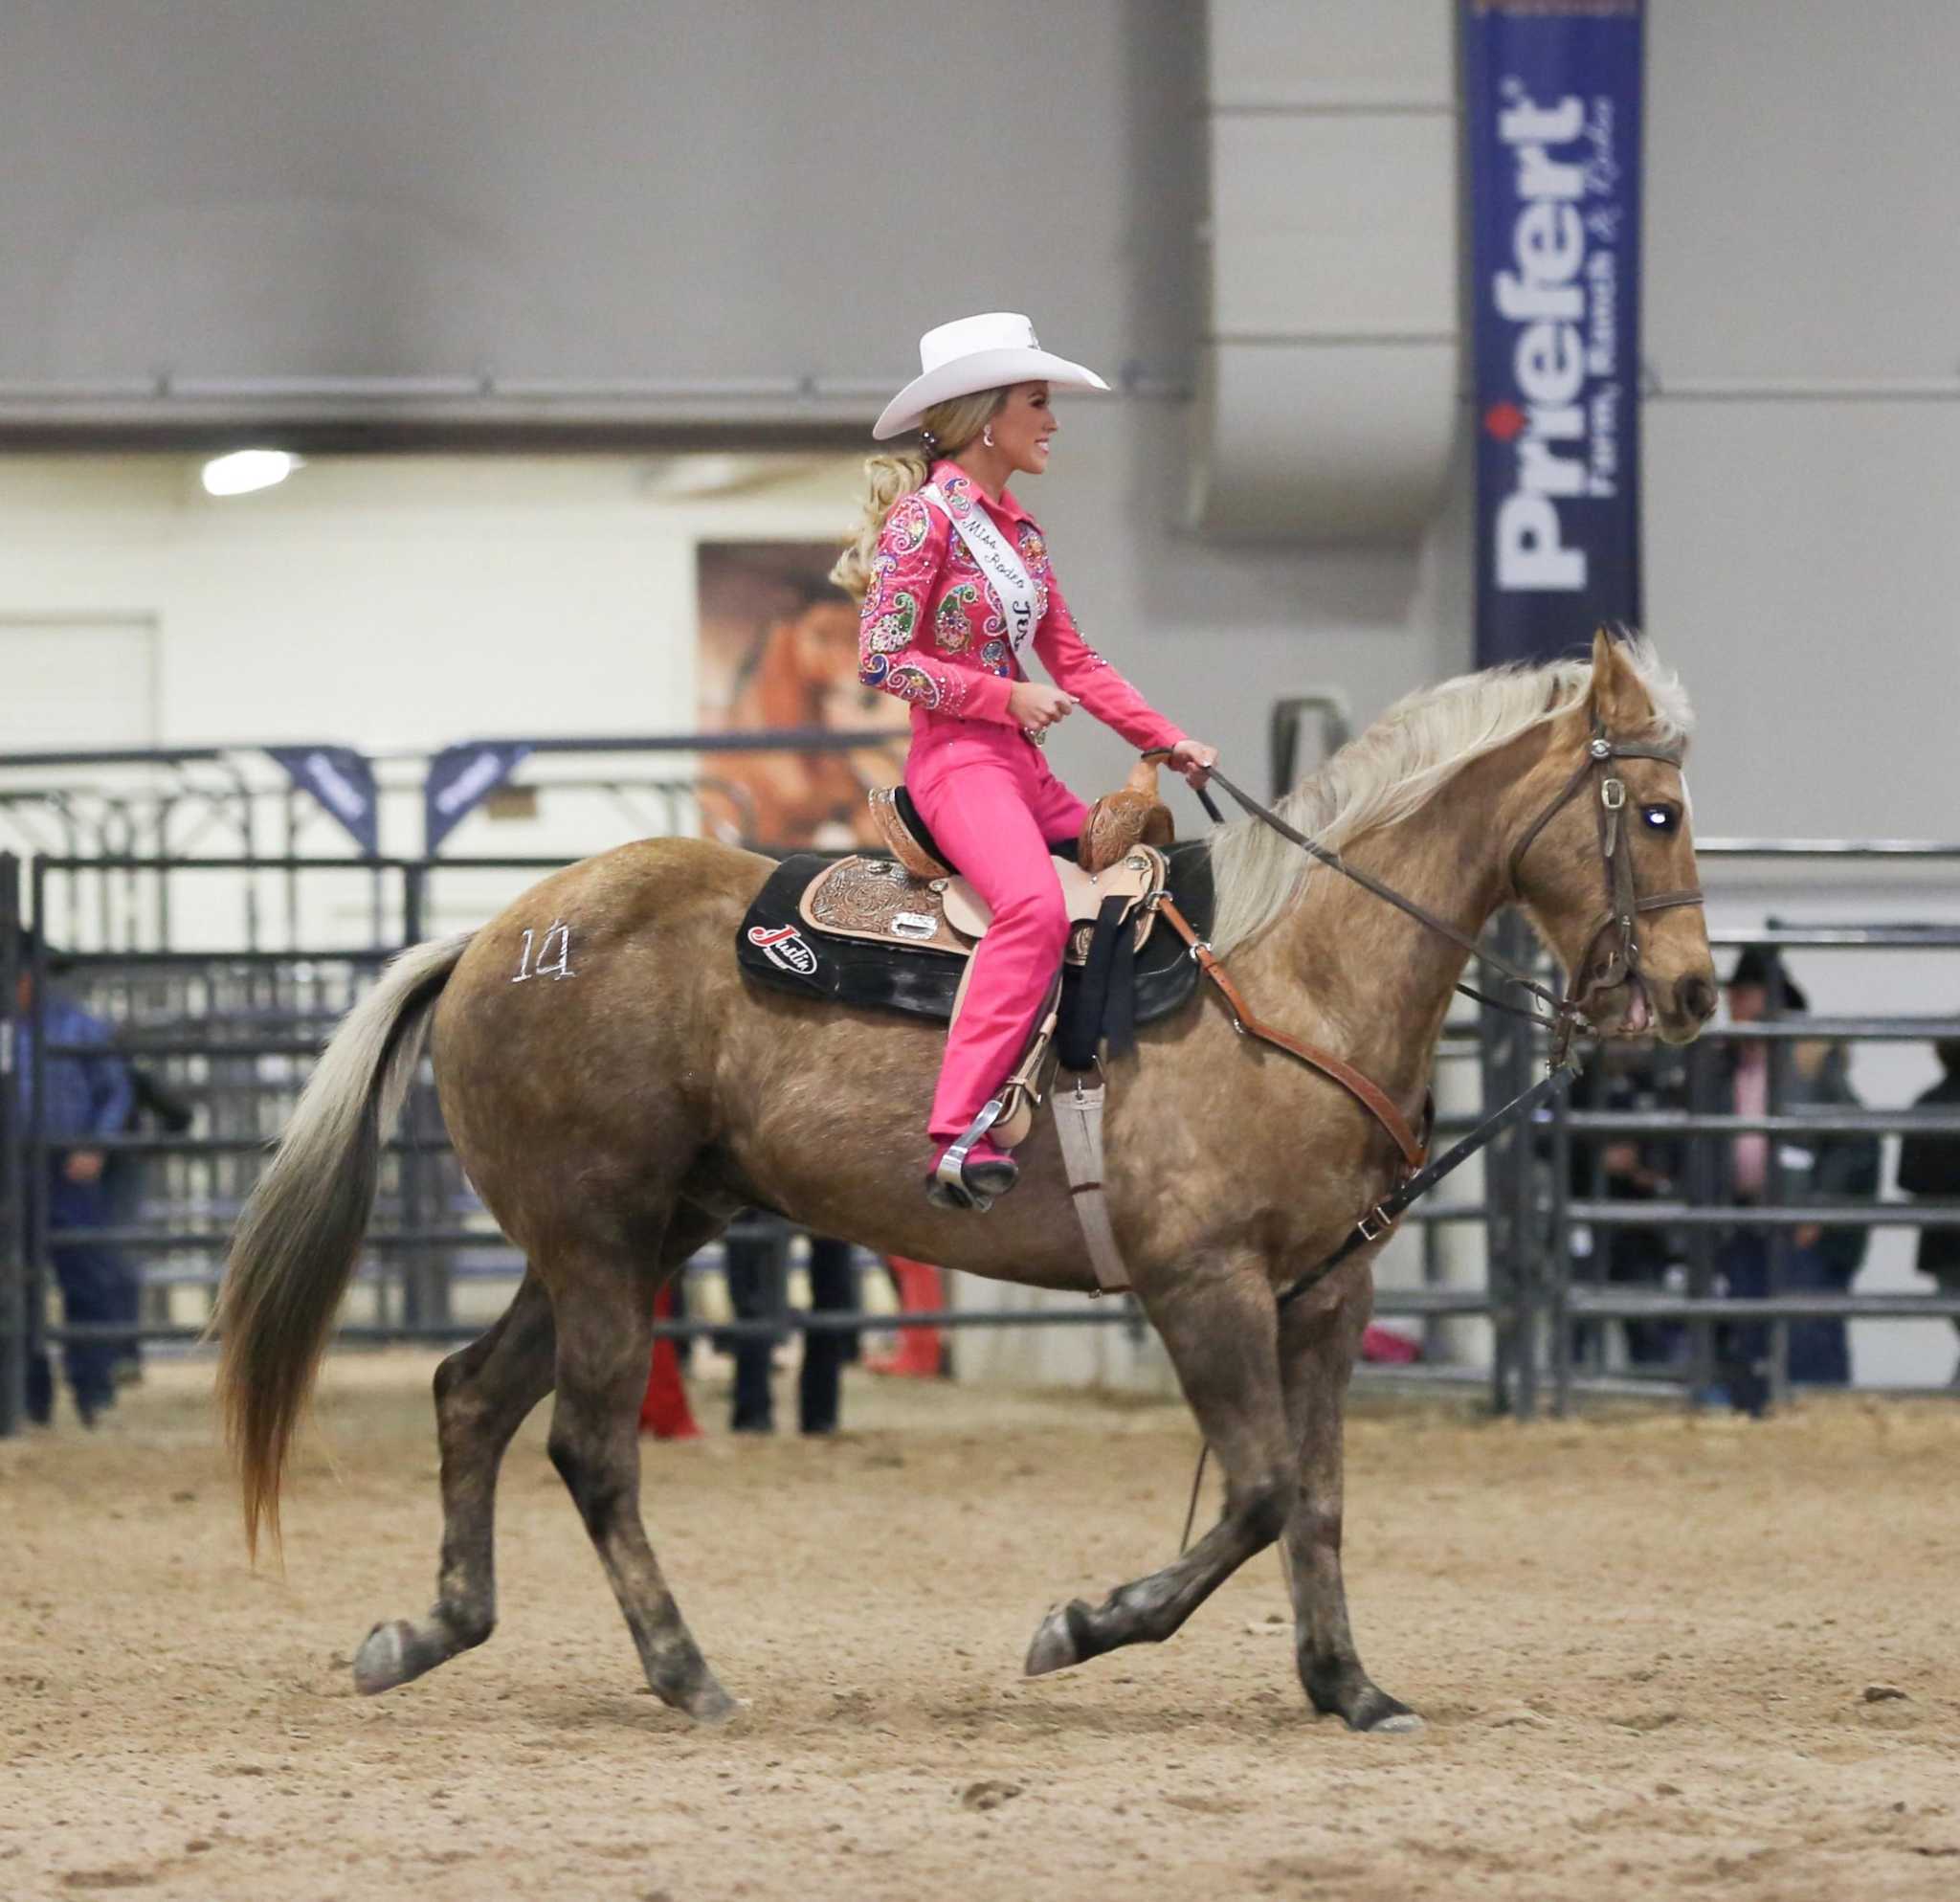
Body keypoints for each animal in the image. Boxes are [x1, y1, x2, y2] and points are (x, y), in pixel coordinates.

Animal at [218, 631, 1717, 1725]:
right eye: (1654, 810)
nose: (1696, 994)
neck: (1296, 978)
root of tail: (492, 936)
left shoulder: (1325, 1297)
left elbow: (1322, 1500)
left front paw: (1348, 1686)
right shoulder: (1203, 1285)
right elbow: (1256, 1491)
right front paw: (1085, 1623)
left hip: (630, 1237)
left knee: (470, 1396)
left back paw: (426, 1632)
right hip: (599, 1244)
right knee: (589, 1447)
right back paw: (686, 1672)